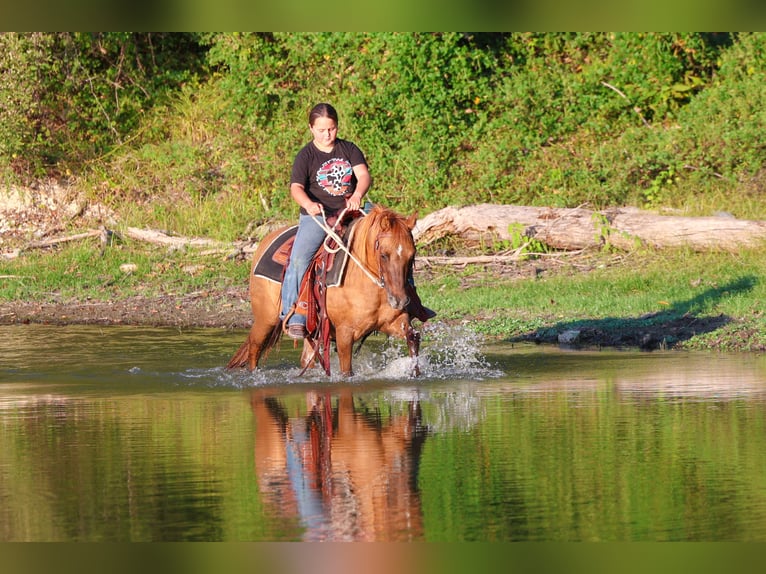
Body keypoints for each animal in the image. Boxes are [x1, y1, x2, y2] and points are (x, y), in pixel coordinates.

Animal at [227, 205, 422, 377]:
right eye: (384, 255)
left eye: (412, 255)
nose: (400, 300)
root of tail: (264, 242)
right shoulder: (345, 335)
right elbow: (346, 371)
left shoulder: (394, 322)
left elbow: (413, 338)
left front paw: (415, 372)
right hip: (265, 320)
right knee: (254, 350)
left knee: (306, 359)